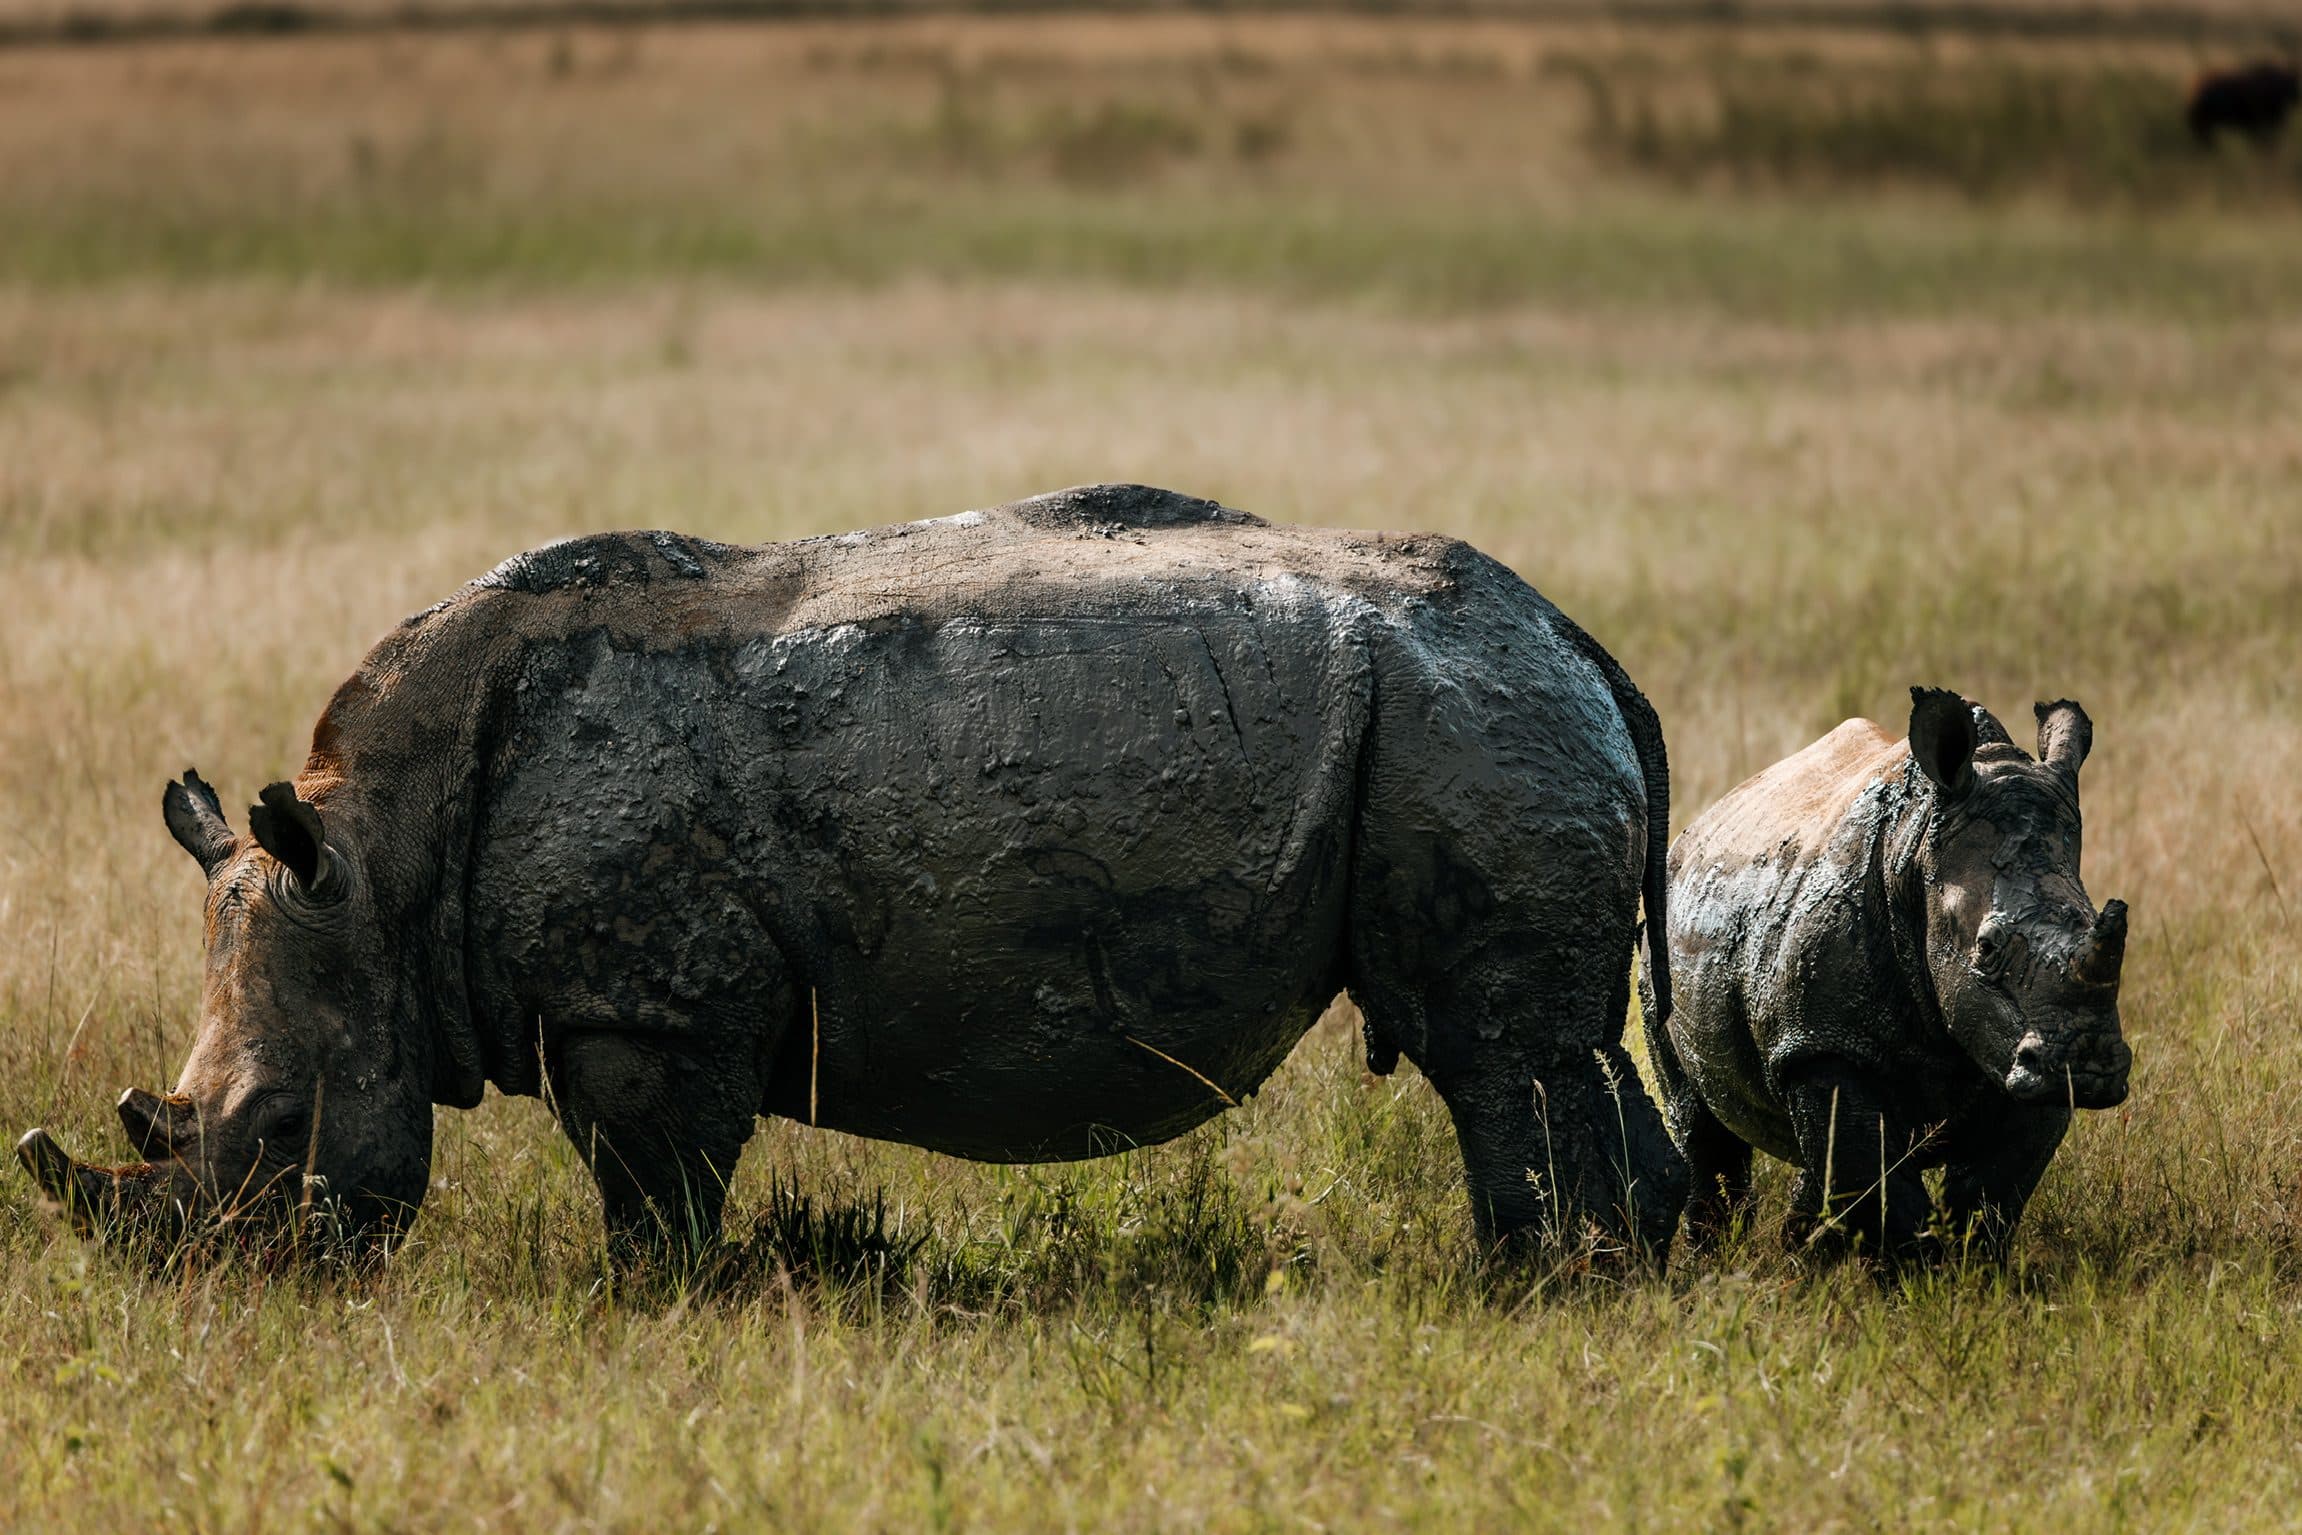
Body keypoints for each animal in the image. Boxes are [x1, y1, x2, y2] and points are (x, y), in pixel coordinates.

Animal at [18, 484, 1687, 1266]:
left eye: (273, 1128)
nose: (230, 1290)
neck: (379, 858)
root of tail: (1581, 638)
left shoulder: (649, 1006)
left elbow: (651, 1192)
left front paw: (651, 1312)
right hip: (1470, 711)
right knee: (1563, 1048)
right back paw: (1624, 1283)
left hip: (1463, 717)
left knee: (1499, 1054)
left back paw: (1522, 1288)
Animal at [1643, 687, 2131, 1262]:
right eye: (1986, 948)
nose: (2088, 1062)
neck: (1917, 849)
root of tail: (1701, 823)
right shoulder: (1823, 1043)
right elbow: (1881, 1187)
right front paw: (1917, 1275)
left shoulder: (2021, 1056)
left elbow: (1991, 1193)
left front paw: (1971, 1273)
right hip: (1661, 920)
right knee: (1700, 1122)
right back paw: (1714, 1259)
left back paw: (1798, 1259)